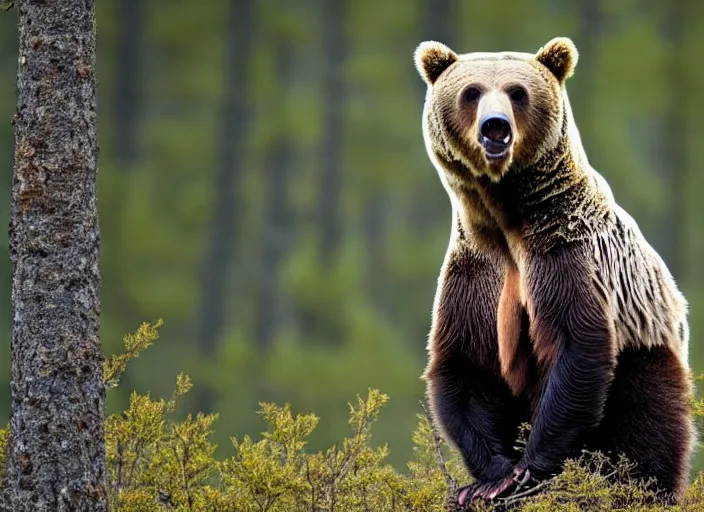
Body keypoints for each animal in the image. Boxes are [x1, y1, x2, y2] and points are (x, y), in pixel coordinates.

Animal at [416, 37, 696, 508]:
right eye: (471, 92)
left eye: (517, 92)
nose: (495, 127)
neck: (507, 219)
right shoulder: (475, 272)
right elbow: (464, 366)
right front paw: (489, 478)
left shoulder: (566, 256)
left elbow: (577, 347)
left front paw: (527, 471)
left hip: (647, 347)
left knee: (647, 422)